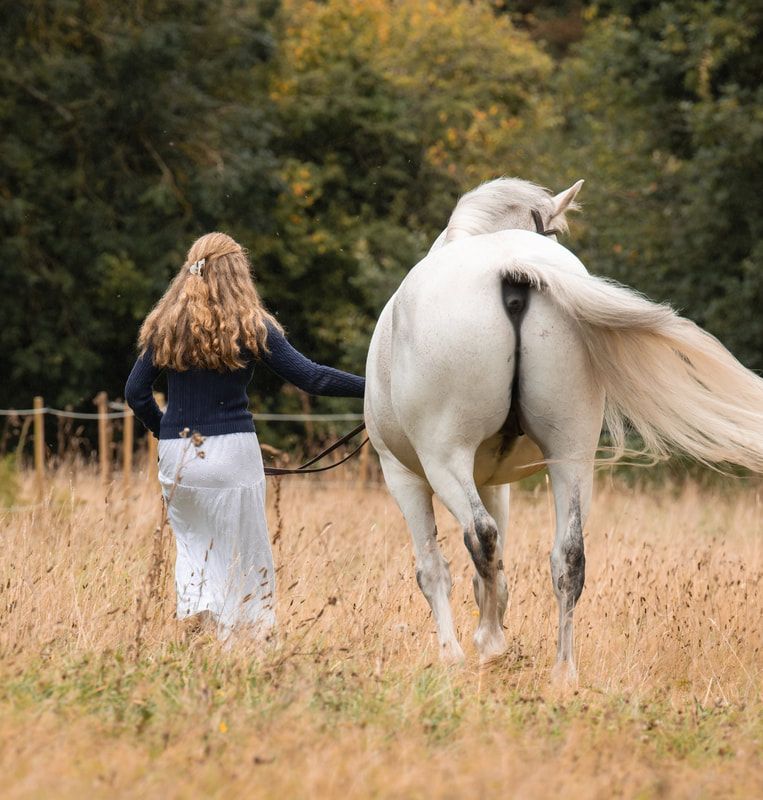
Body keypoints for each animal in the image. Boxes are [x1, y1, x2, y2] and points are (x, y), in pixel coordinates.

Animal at [364, 177, 763, 681]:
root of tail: (511, 268)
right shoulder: (493, 481)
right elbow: (497, 567)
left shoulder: (402, 475)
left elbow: (435, 568)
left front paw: (452, 655)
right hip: (572, 455)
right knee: (568, 556)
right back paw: (563, 671)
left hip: (445, 457)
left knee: (480, 536)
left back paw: (489, 642)